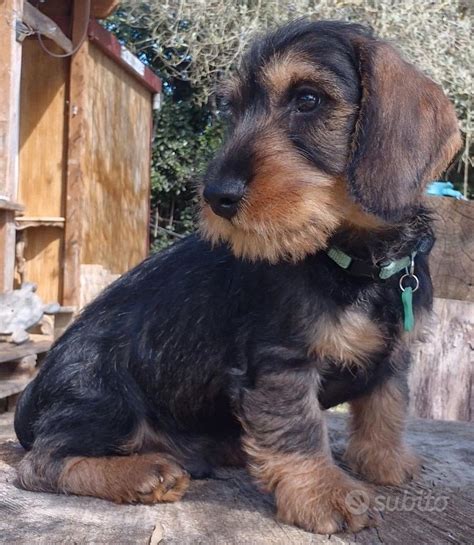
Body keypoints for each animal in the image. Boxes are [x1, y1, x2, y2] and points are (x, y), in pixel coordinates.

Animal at [14, 20, 460, 534]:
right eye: (233, 110)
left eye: (308, 99)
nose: (216, 196)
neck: (359, 262)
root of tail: (30, 397)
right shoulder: (282, 363)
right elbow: (299, 429)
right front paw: (324, 493)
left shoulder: (396, 357)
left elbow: (385, 405)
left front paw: (386, 461)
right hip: (104, 398)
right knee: (41, 463)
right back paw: (144, 473)